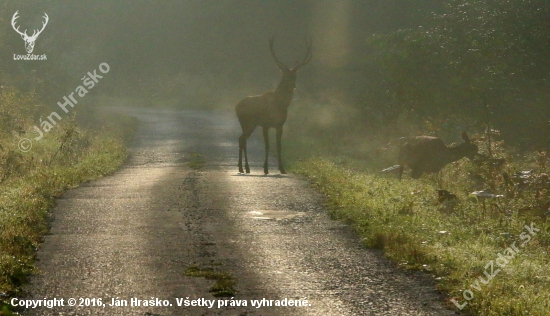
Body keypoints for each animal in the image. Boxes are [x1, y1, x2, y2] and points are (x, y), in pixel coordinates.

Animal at [237, 37, 314, 175]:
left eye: (295, 75)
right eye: (285, 75)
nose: (293, 85)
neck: (280, 104)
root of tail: (236, 106)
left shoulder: (280, 125)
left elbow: (279, 146)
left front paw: (282, 169)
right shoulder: (265, 124)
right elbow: (267, 145)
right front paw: (266, 168)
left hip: (249, 124)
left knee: (242, 139)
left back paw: (244, 168)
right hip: (248, 122)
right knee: (242, 139)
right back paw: (243, 167)